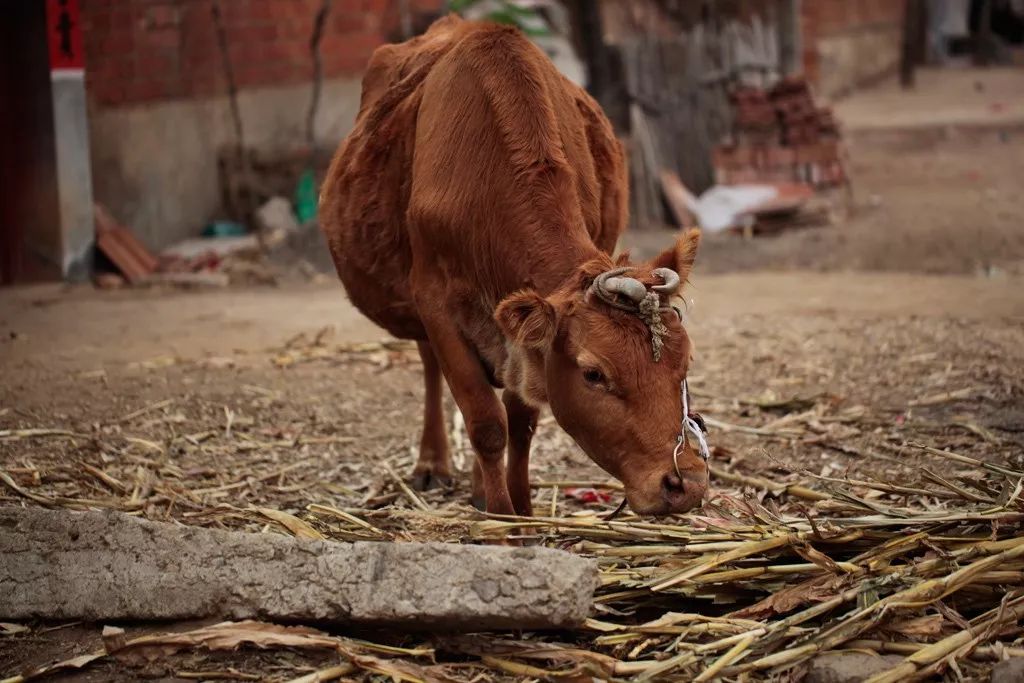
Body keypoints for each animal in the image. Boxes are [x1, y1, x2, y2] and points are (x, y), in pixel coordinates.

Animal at [323, 15, 708, 516]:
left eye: (686, 361)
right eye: (594, 374)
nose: (686, 484)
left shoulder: (526, 338)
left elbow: (520, 418)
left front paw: (520, 507)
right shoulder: (435, 301)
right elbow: (486, 422)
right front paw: (505, 523)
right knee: (432, 368)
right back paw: (433, 464)